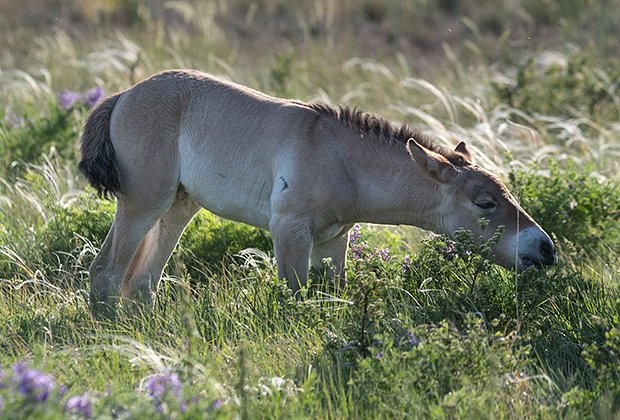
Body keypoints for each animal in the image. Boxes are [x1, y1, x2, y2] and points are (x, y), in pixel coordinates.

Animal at [77, 69, 556, 312]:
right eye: (484, 203)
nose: (545, 248)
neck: (342, 161)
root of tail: (123, 95)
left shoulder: (332, 241)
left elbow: (331, 296)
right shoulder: (290, 231)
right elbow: (295, 298)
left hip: (178, 207)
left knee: (140, 282)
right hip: (143, 203)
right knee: (106, 273)